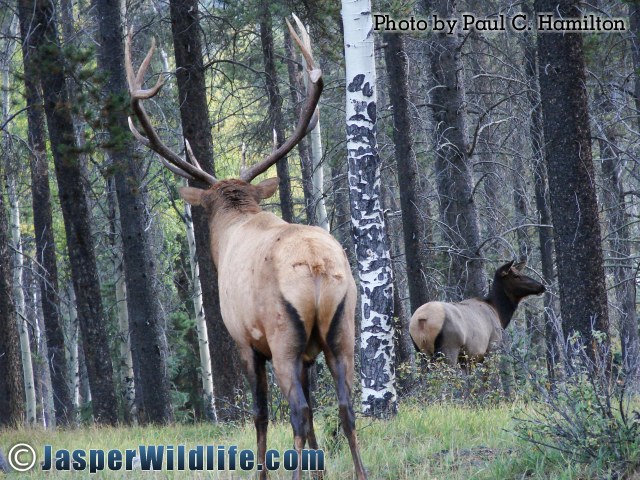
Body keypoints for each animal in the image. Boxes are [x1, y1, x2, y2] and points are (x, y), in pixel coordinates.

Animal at [125, 15, 364, 480]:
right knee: (345, 409)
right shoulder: (309, 354)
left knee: (298, 413)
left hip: (283, 337)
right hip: (342, 332)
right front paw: (319, 471)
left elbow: (259, 414)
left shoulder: (244, 341)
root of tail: (318, 269)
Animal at [410, 262, 544, 368]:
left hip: (421, 352)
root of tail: (422, 319)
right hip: (449, 348)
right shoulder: (490, 348)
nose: (542, 286)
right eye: (516, 275)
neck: (498, 312)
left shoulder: (466, 359)